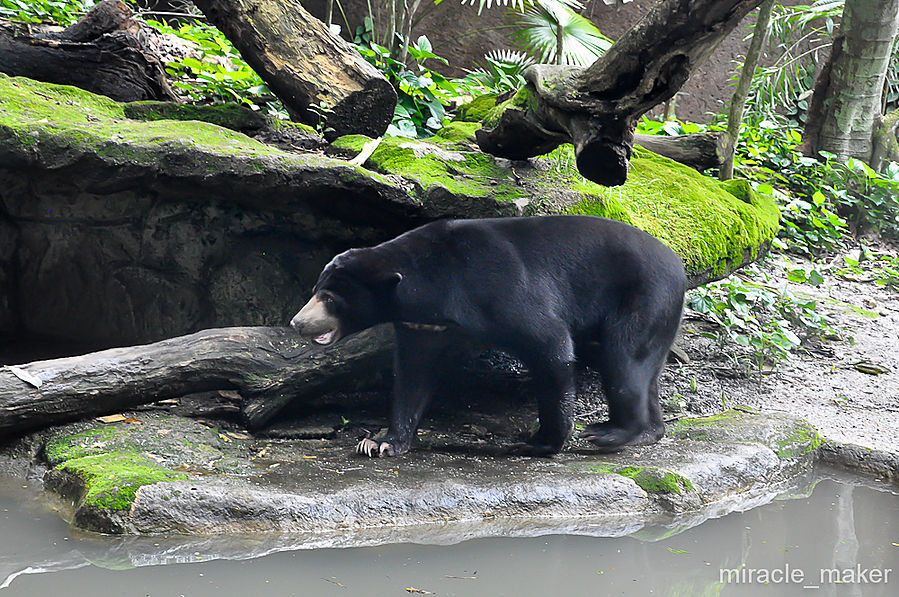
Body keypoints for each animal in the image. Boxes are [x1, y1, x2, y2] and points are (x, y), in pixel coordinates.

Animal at [290, 215, 686, 458]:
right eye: (314, 290)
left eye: (330, 299)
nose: (297, 322)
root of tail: (679, 264)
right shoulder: (421, 326)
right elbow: (413, 376)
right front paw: (381, 443)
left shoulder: (497, 289)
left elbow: (551, 344)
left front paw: (541, 442)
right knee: (642, 372)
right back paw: (651, 431)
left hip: (643, 297)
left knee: (623, 363)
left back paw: (611, 433)